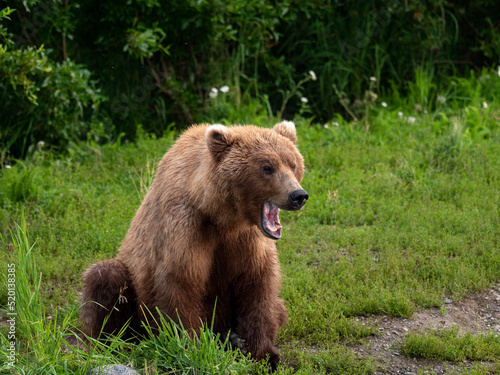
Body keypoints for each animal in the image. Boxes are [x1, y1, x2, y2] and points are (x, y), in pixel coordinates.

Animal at [81, 121, 308, 370]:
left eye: (293, 164)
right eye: (267, 167)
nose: (298, 195)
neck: (222, 215)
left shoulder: (247, 241)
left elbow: (258, 285)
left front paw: (265, 354)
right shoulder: (185, 227)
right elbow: (181, 284)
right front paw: (191, 348)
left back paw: (232, 339)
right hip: (134, 297)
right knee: (105, 278)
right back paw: (115, 343)